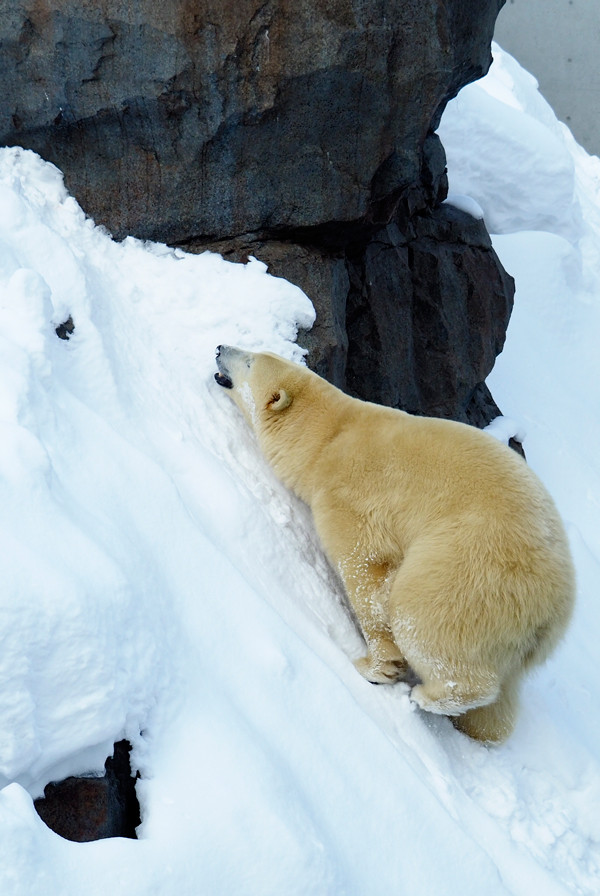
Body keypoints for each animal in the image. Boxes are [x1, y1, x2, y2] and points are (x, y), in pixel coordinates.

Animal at [216, 344, 576, 744]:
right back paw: (478, 727)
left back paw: (426, 694)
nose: (219, 348)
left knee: (422, 619)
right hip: (514, 639)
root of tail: (553, 609)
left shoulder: (349, 495)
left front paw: (376, 665)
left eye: (249, 361)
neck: (330, 437)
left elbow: (366, 570)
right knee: (504, 691)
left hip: (468, 571)